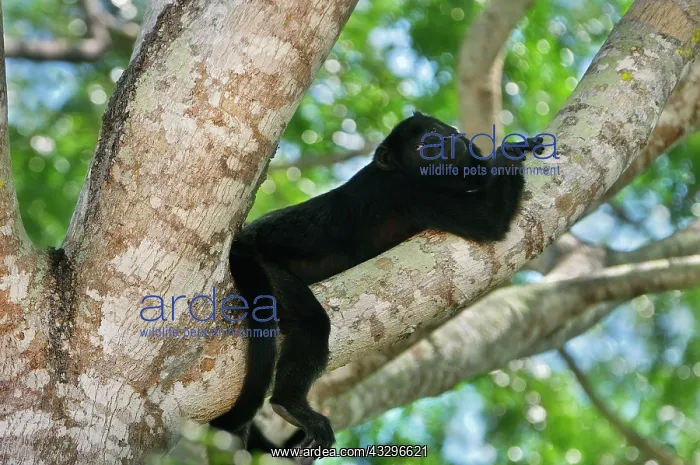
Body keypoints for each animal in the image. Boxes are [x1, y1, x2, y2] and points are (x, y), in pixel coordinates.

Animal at [210, 111, 544, 450]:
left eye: (434, 131)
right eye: (423, 146)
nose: (444, 143)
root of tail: (239, 242)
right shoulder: (405, 193)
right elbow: (489, 221)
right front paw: (508, 154)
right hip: (268, 274)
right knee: (311, 322)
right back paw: (289, 405)